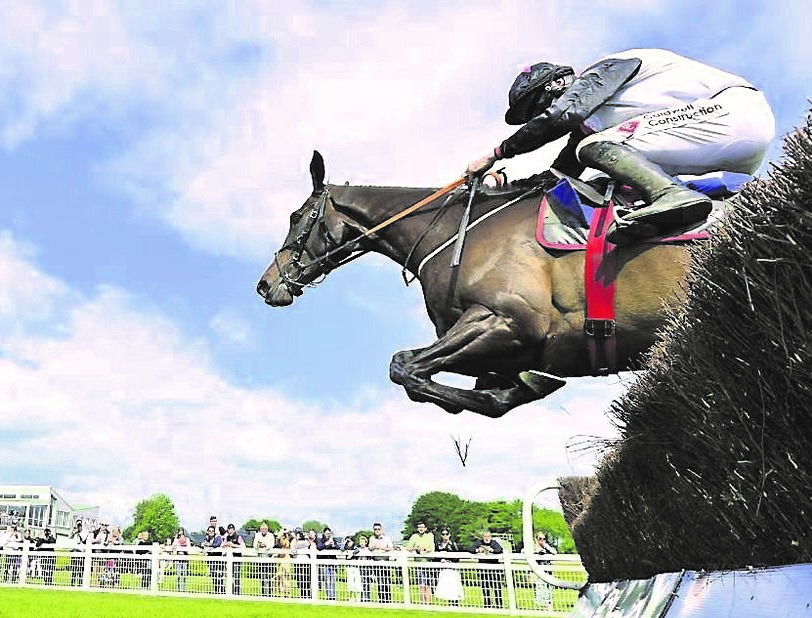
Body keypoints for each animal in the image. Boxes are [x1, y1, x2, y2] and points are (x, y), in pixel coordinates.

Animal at [258, 152, 692, 416]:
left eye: (296, 217)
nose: (265, 285)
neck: (455, 231)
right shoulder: (513, 347)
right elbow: (424, 374)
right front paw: (513, 388)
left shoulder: (505, 321)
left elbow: (405, 368)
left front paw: (517, 390)